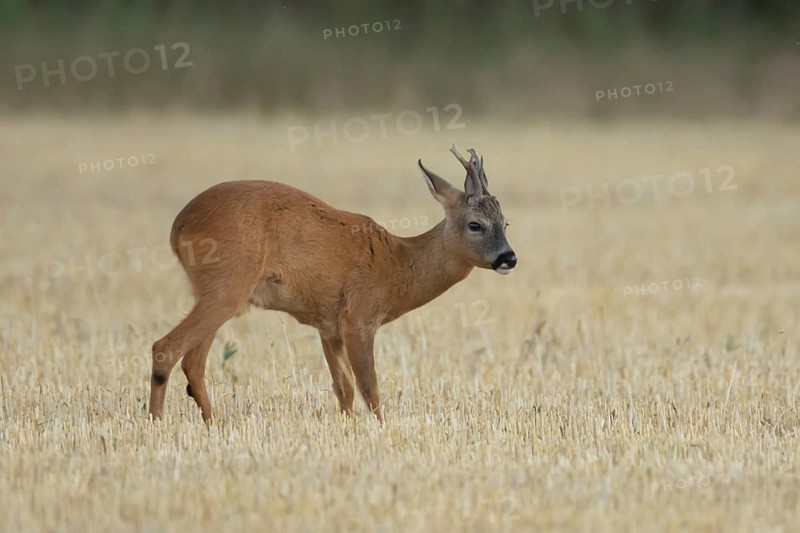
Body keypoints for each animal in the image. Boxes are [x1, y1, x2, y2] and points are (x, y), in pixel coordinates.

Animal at [149, 145, 517, 423]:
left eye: (505, 222)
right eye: (475, 224)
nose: (508, 257)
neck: (398, 266)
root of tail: (178, 225)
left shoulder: (329, 327)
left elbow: (345, 389)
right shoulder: (359, 316)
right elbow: (370, 389)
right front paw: (381, 430)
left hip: (215, 291)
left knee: (192, 363)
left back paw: (213, 424)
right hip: (228, 286)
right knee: (166, 348)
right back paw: (157, 424)